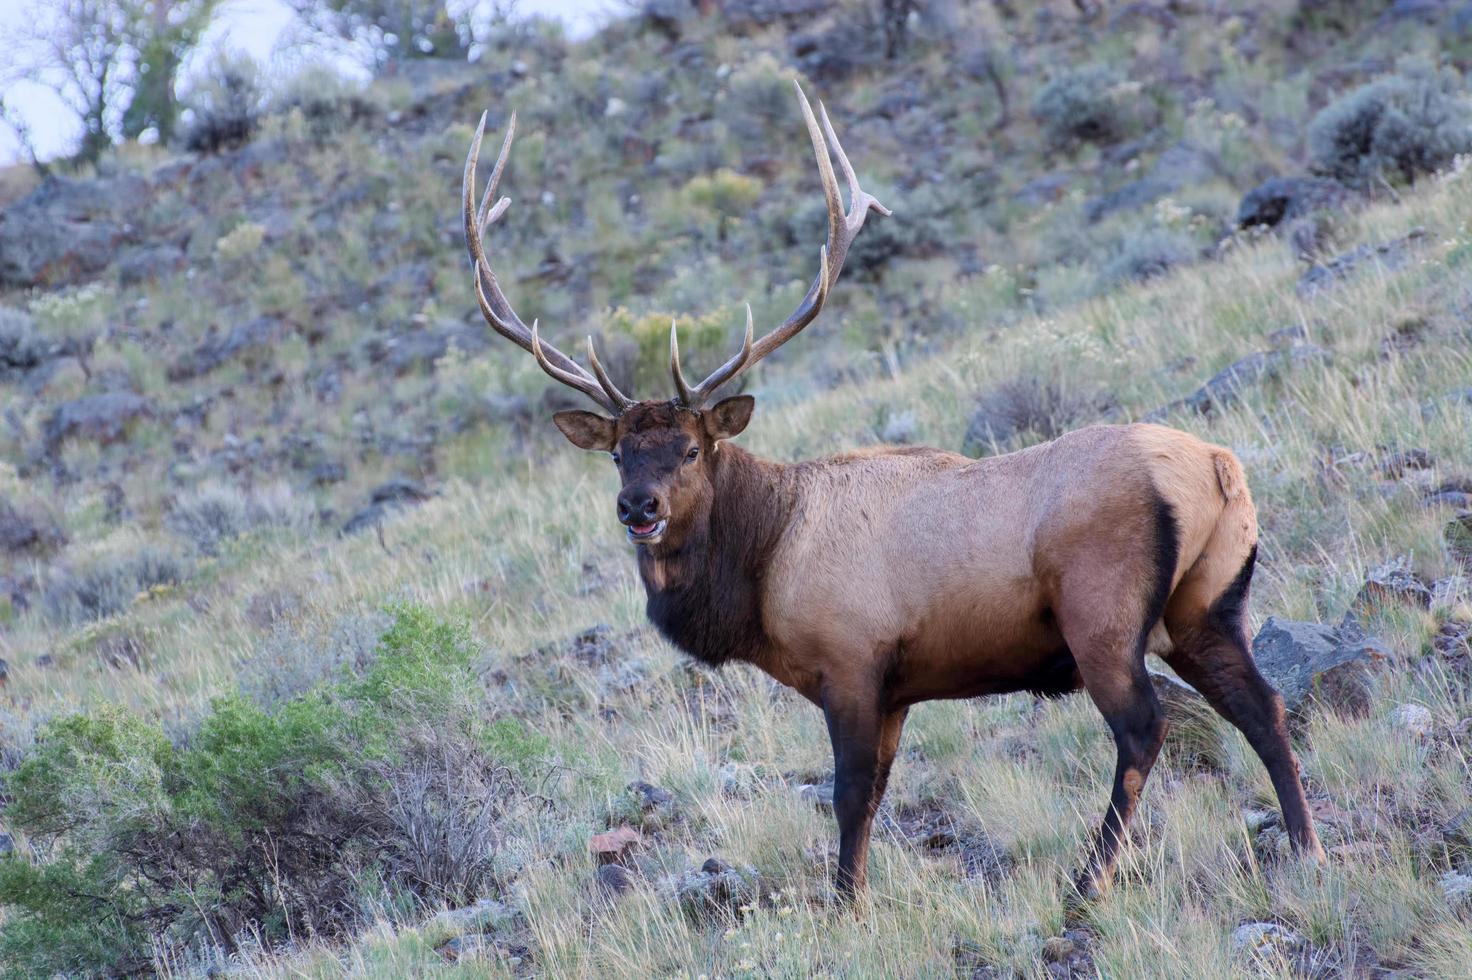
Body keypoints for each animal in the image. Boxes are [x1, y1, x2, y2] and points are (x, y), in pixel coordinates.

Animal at [456, 87, 1324, 894]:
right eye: (617, 455)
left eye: (693, 449)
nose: (640, 507)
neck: (761, 571)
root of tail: (1217, 467)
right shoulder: (900, 688)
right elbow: (874, 796)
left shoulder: (850, 662)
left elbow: (848, 796)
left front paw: (846, 902)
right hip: (1206, 604)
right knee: (1263, 705)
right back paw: (1307, 847)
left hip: (1102, 611)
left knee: (1146, 727)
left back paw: (1089, 878)